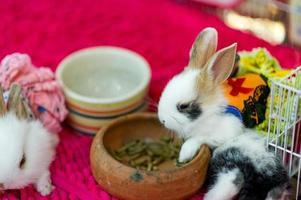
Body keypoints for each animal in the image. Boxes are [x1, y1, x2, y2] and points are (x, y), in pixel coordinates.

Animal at [156, 27, 288, 199]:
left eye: (183, 106)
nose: (162, 120)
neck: (208, 112)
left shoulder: (224, 132)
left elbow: (198, 139)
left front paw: (184, 154)